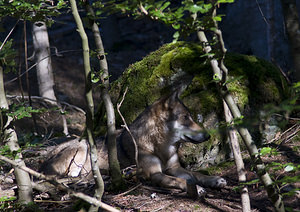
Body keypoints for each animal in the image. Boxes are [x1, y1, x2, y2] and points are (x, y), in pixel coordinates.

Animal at [40, 90, 227, 195]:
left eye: (191, 117)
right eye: (186, 118)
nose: (208, 136)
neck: (161, 147)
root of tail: (41, 165)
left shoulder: (174, 168)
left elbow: (197, 175)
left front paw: (214, 180)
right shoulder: (155, 174)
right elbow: (182, 181)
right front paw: (197, 189)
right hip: (82, 148)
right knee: (72, 177)